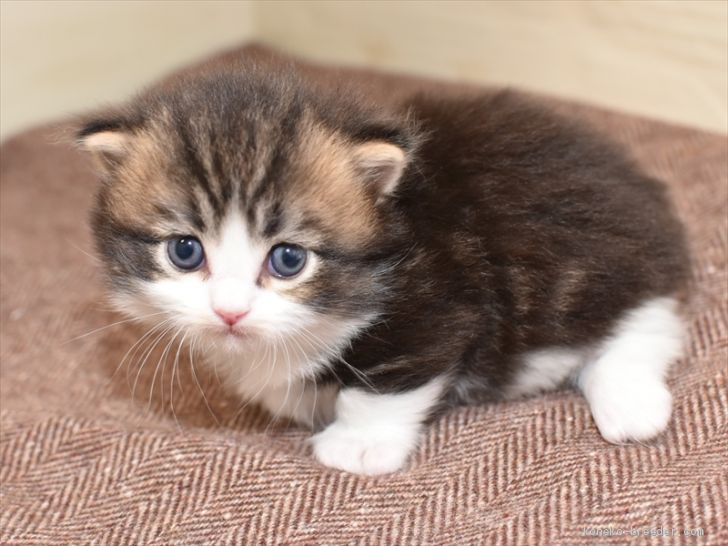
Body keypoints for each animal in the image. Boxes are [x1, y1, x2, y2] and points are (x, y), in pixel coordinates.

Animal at [79, 66, 688, 474]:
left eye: (288, 259)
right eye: (185, 251)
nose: (230, 312)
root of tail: (635, 182)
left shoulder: (438, 309)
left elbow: (382, 383)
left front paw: (358, 446)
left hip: (602, 266)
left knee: (649, 320)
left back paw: (630, 404)